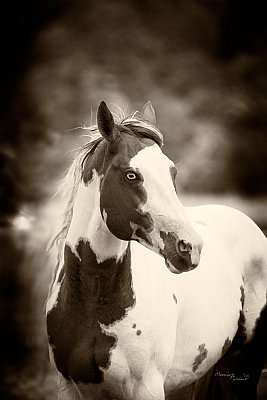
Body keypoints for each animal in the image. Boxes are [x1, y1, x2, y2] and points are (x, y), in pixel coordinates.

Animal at [46, 101, 267, 400]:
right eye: (131, 175)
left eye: (172, 173)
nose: (190, 247)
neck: (94, 302)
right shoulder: (68, 387)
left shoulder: (147, 387)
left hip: (244, 365)